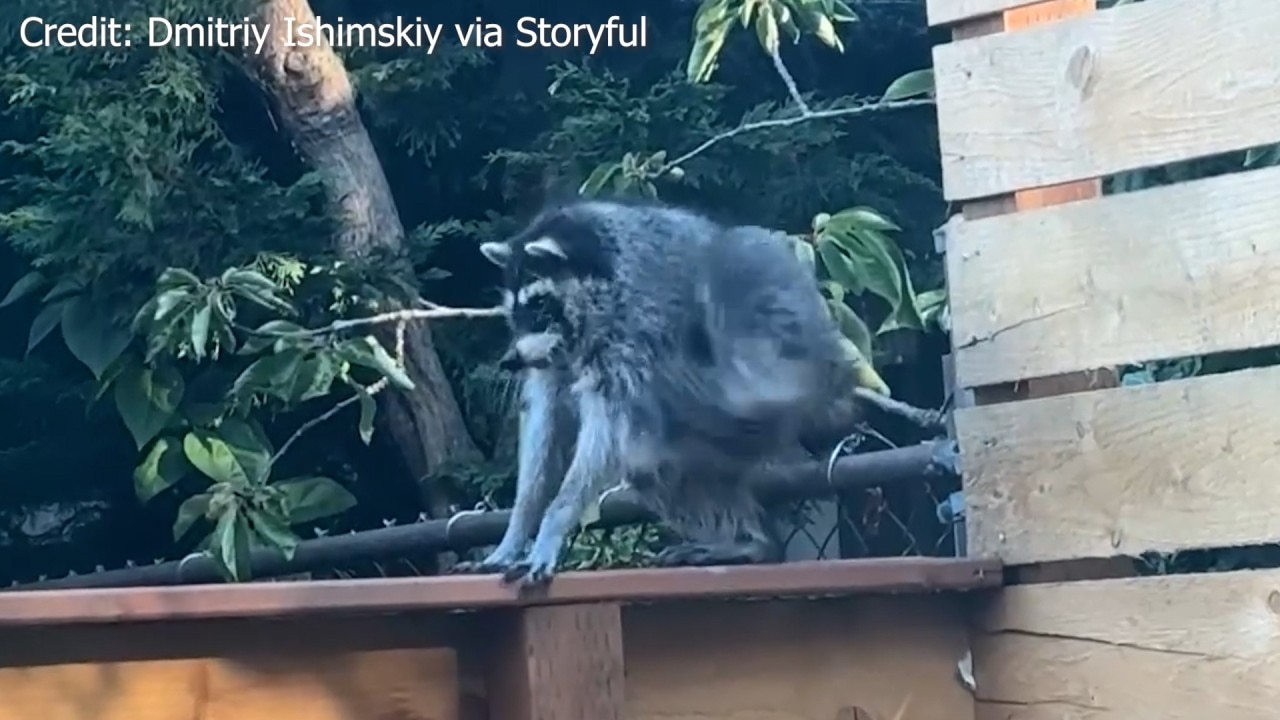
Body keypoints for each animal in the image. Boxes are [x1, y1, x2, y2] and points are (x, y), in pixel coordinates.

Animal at [457, 198, 864, 586]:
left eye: (539, 306)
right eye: (513, 313)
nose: (510, 362)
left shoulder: (633, 335)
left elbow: (603, 433)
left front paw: (554, 521)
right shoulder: (554, 362)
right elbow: (543, 427)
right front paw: (517, 530)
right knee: (653, 469)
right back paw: (750, 542)